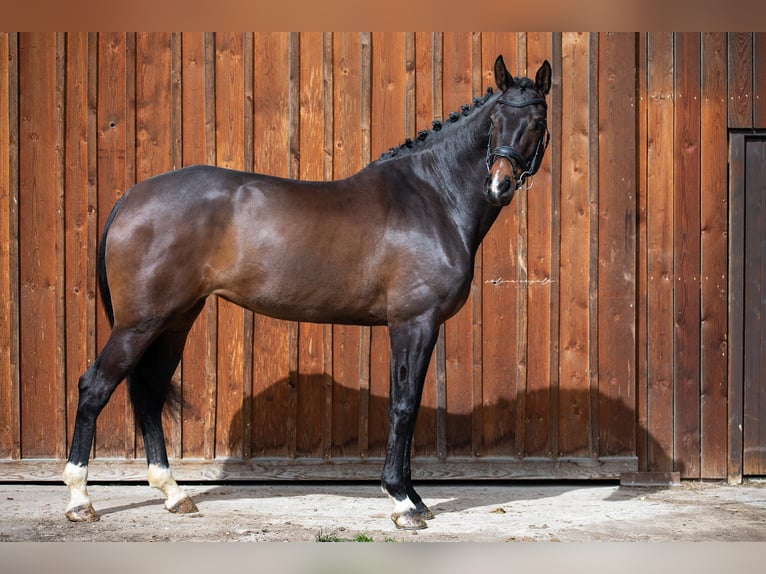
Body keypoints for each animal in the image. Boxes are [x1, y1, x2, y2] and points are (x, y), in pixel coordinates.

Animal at [61, 54, 552, 532]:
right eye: (496, 119)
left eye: (537, 122)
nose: (499, 185)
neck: (433, 198)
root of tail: (131, 197)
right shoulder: (412, 323)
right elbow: (403, 407)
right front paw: (402, 502)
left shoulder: (419, 327)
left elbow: (408, 408)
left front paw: (414, 498)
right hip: (139, 323)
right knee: (95, 386)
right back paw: (80, 500)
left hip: (175, 320)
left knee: (148, 392)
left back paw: (174, 494)